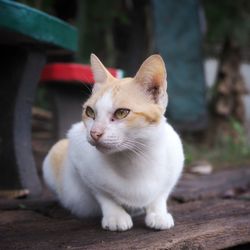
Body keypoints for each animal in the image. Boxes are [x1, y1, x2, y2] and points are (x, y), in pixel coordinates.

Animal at [42, 53, 184, 231]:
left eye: (122, 113)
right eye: (90, 112)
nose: (94, 133)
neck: (135, 158)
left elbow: (160, 194)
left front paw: (158, 213)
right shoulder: (77, 152)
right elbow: (103, 195)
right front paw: (116, 215)